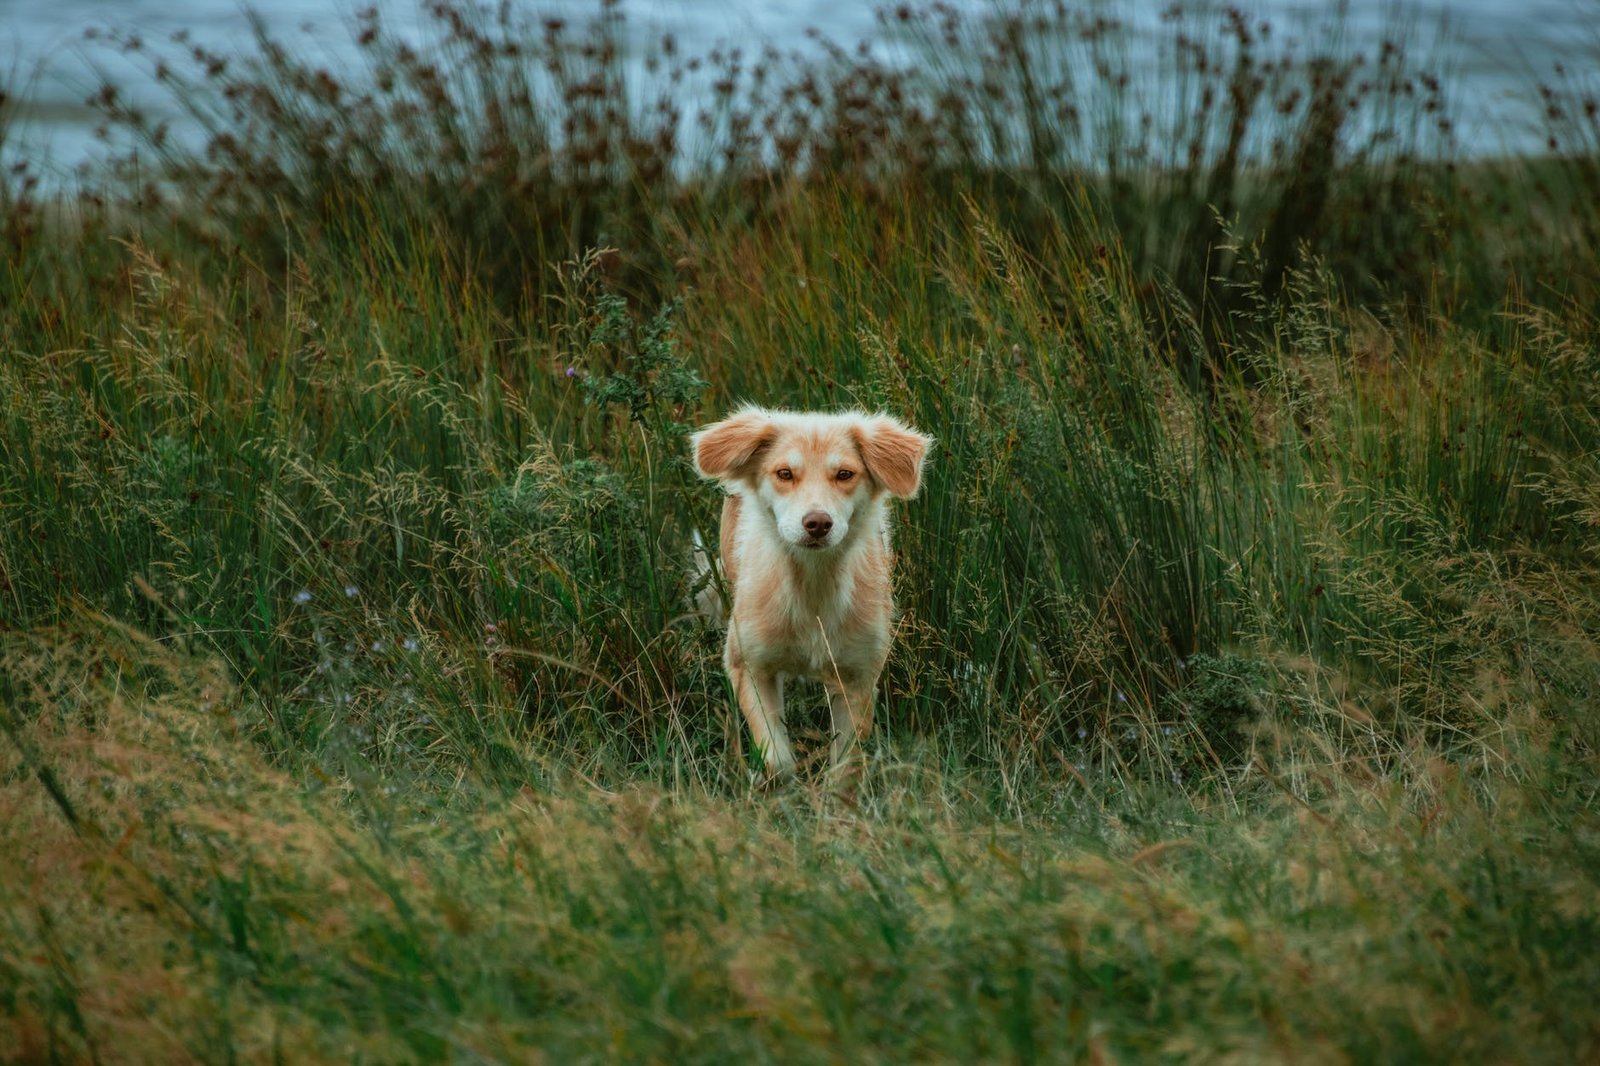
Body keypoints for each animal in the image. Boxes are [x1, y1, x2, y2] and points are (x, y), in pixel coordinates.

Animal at [691, 403, 934, 784]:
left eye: (845, 474)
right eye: (785, 473)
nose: (817, 523)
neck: (812, 585)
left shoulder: (859, 676)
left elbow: (846, 767)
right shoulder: (748, 665)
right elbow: (777, 759)